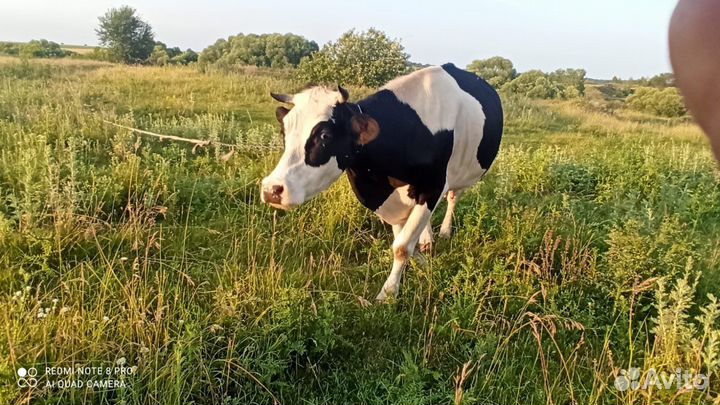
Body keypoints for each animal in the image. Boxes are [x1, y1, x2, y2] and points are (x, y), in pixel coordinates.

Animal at [261, 63, 503, 301]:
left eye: (325, 136)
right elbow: (402, 239)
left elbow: (402, 247)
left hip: (461, 173)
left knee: (452, 197)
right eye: (284, 131)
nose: (272, 189)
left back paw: (444, 231)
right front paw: (421, 263)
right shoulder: (389, 199)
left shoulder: (432, 187)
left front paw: (388, 293)